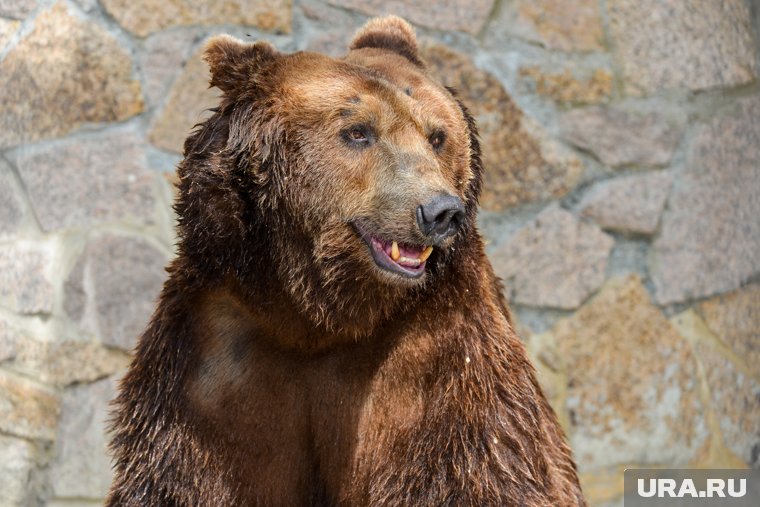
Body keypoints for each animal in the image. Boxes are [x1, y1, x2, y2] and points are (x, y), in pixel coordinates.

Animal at [104, 15, 584, 507]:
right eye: (358, 131)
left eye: (437, 136)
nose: (440, 211)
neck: (319, 313)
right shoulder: (214, 365)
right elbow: (189, 476)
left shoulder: (441, 365)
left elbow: (477, 467)